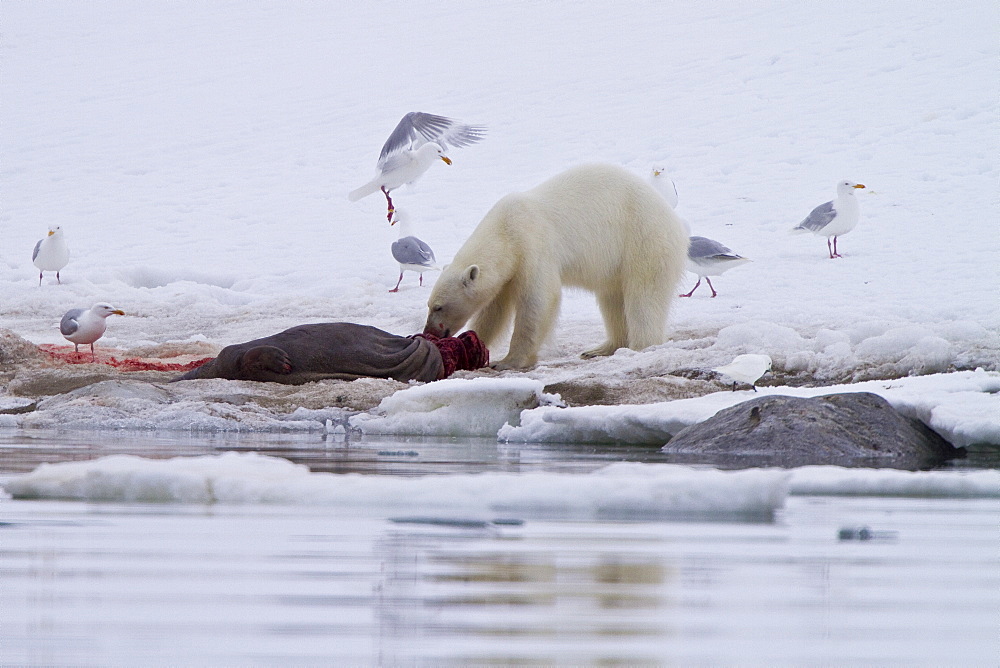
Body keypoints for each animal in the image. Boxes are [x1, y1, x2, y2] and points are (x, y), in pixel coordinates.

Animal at [420, 162, 688, 370]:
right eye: (430, 305)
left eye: (439, 307)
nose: (430, 331)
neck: (505, 230)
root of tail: (674, 221)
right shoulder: (508, 268)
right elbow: (495, 309)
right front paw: (474, 343)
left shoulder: (533, 244)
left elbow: (538, 300)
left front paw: (508, 361)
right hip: (616, 263)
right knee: (611, 298)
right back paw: (601, 348)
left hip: (643, 240)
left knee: (643, 296)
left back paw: (640, 346)